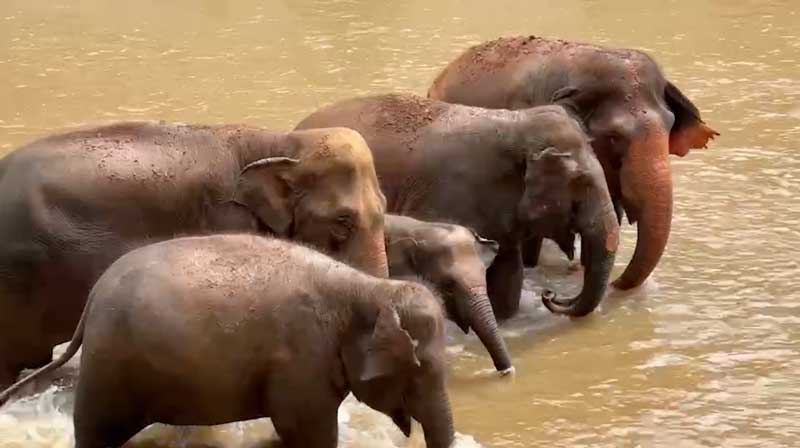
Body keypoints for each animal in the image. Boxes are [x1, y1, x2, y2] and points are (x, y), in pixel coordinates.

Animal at [0, 234, 454, 448]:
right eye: (421, 369)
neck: (369, 288)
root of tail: (93, 298)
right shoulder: (300, 360)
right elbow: (309, 432)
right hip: (110, 368)